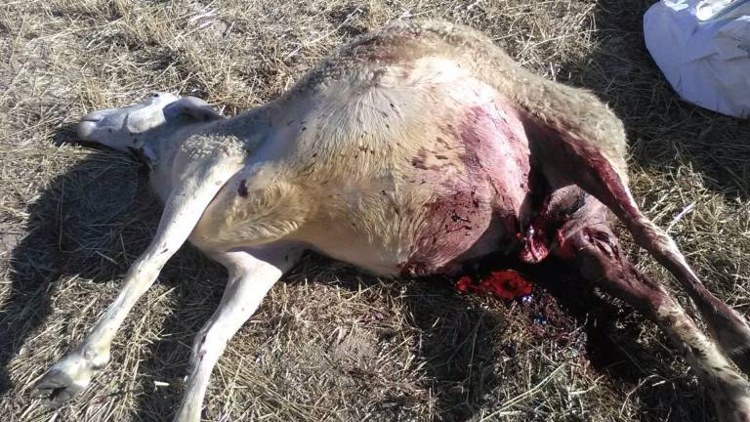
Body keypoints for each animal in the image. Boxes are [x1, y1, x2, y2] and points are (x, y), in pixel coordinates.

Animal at [34, 19, 750, 421]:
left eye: (150, 96)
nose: (77, 123)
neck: (167, 156)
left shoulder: (212, 167)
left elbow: (145, 264)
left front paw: (75, 366)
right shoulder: (263, 263)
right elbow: (208, 340)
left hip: (571, 134)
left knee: (658, 237)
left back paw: (735, 334)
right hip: (570, 231)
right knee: (647, 289)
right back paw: (727, 385)